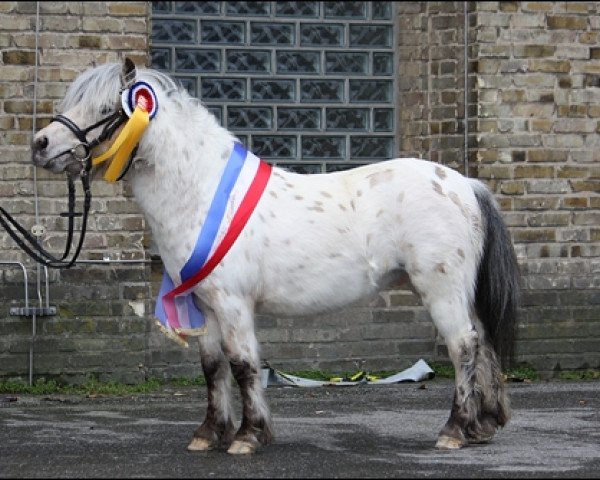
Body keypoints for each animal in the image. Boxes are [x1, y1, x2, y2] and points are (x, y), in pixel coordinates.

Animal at [31, 58, 520, 456]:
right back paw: (483, 427)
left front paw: (248, 437)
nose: (40, 144)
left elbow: (244, 365)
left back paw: (454, 431)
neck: (203, 192)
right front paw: (209, 434)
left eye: (102, 108)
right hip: (459, 293)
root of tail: (464, 184)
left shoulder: (233, 304)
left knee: (464, 347)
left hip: (441, 290)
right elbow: (212, 368)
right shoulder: (206, 304)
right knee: (482, 343)